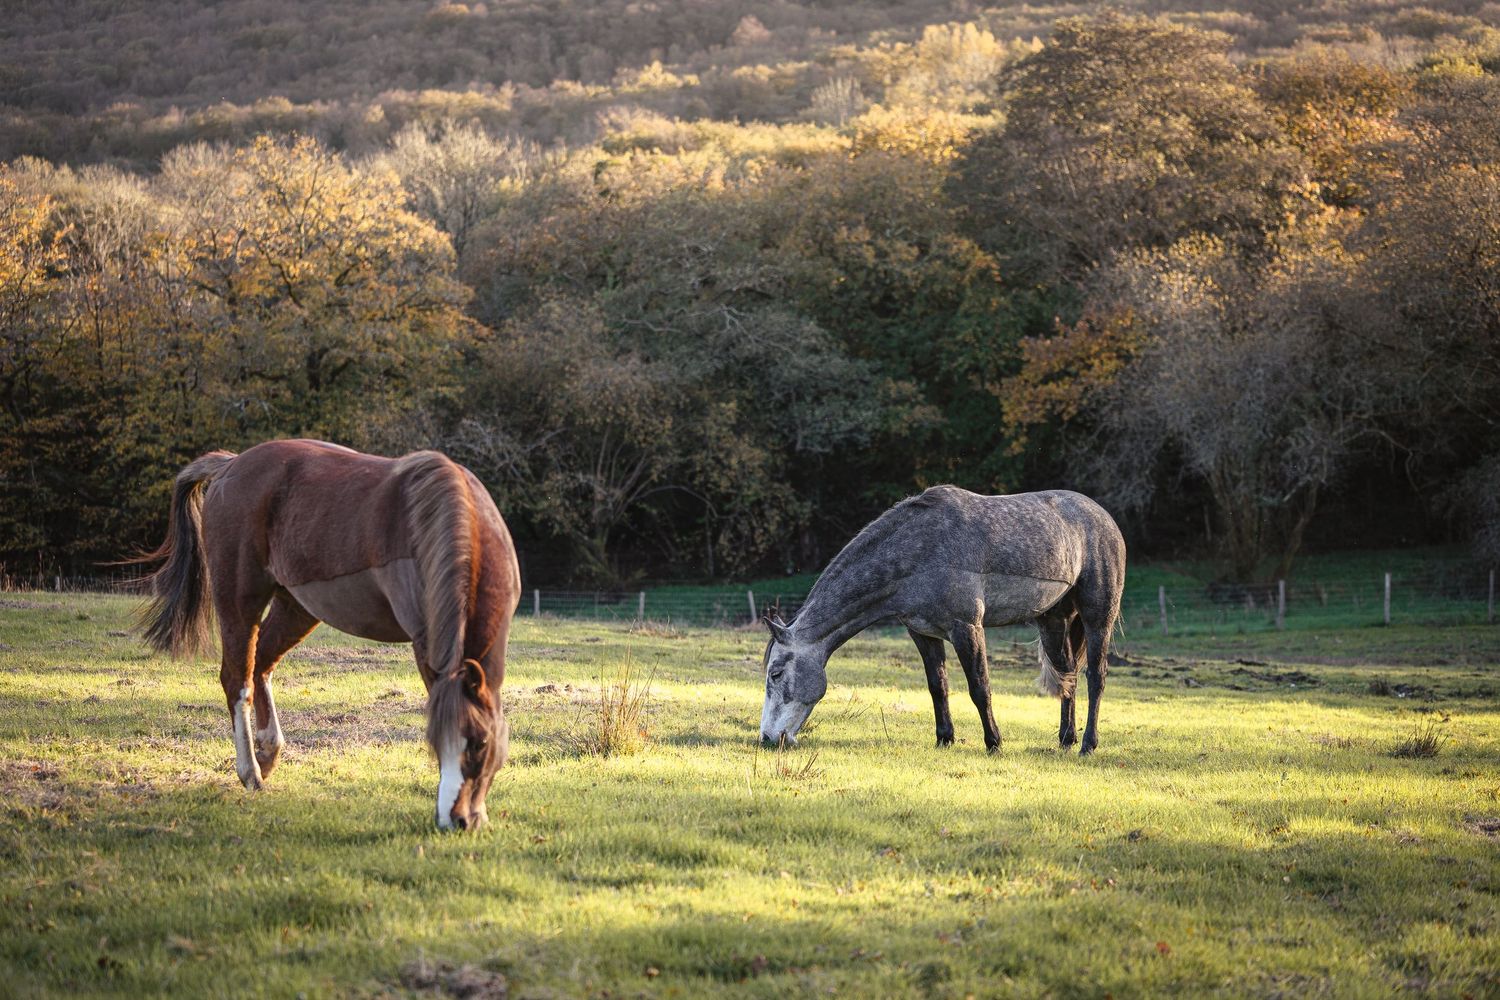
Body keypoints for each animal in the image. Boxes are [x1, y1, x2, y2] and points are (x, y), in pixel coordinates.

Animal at [131, 439, 521, 830]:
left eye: (481, 743)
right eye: (435, 743)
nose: (455, 820)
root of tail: (230, 465)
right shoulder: (425, 643)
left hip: (296, 607)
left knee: (262, 665)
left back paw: (268, 751)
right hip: (240, 602)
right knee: (237, 679)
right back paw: (251, 772)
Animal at [759, 486, 1125, 754]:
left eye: (775, 673)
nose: (767, 738)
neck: (918, 550)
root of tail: (1105, 518)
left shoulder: (966, 628)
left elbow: (980, 688)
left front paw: (994, 743)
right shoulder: (923, 633)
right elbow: (938, 686)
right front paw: (944, 739)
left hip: (1097, 618)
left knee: (1096, 677)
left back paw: (1088, 745)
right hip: (1053, 622)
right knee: (1067, 675)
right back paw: (1066, 739)